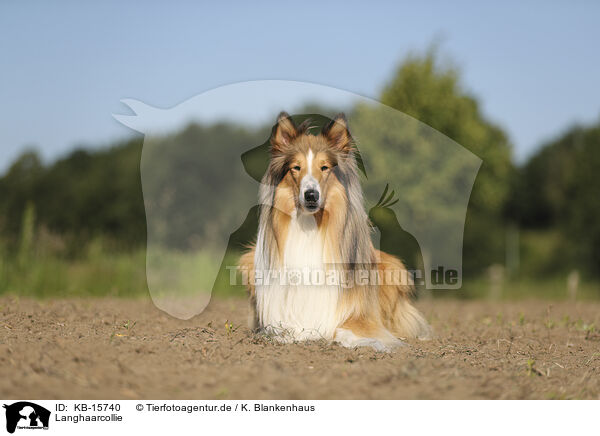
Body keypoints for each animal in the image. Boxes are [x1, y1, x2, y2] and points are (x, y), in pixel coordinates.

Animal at [237, 112, 428, 350]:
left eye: (324, 168)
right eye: (296, 168)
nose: (311, 195)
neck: (309, 226)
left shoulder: (358, 315)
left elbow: (346, 330)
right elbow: (285, 330)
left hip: (392, 269)